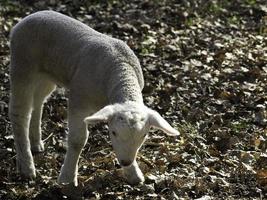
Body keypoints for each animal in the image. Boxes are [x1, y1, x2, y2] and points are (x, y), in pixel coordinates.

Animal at [9, 10, 180, 186]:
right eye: (113, 132)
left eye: (144, 135)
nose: (125, 162)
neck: (121, 71)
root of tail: (25, 20)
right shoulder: (79, 97)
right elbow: (77, 140)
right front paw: (67, 179)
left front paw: (133, 174)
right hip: (23, 65)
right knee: (19, 113)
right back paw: (27, 167)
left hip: (46, 75)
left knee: (37, 103)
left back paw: (36, 143)